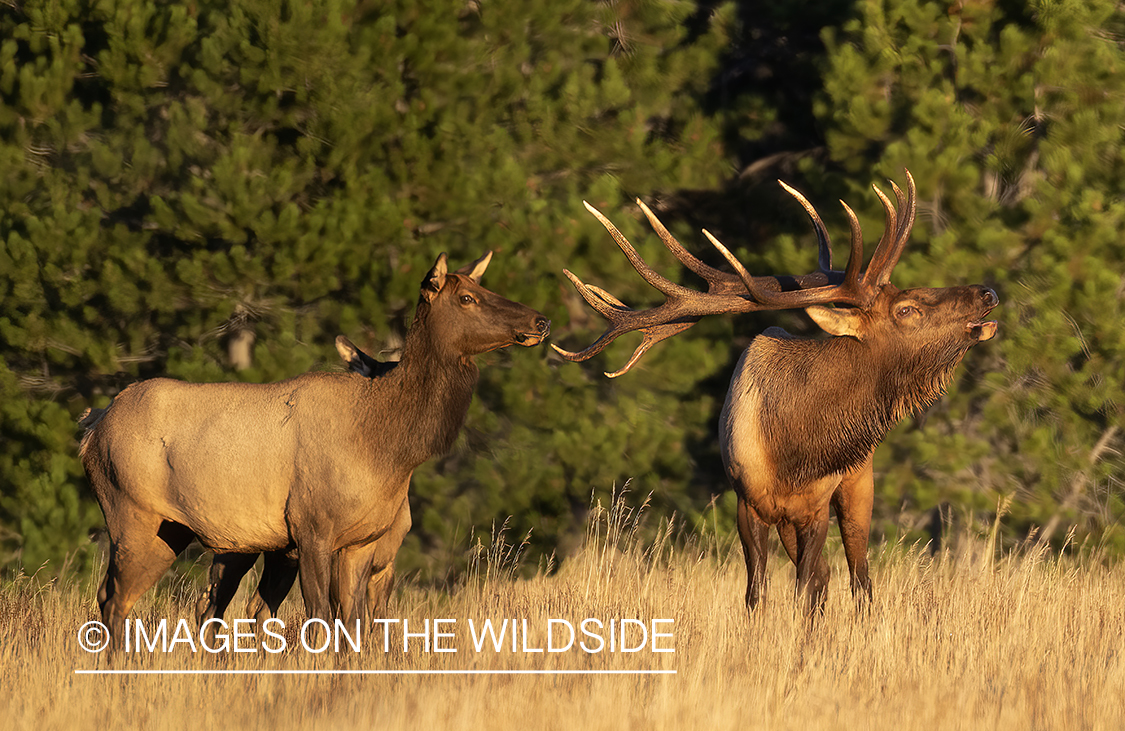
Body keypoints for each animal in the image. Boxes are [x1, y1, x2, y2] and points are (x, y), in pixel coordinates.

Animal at [79, 250, 549, 638]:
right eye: (467, 298)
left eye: (487, 288)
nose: (539, 321)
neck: (388, 447)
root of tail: (92, 426)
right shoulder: (312, 530)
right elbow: (321, 619)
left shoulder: (360, 543)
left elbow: (354, 626)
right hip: (133, 515)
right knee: (116, 600)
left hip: (183, 531)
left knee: (185, 605)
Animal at [555, 173, 1003, 611]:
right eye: (907, 309)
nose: (987, 293)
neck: (792, 452)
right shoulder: (747, 501)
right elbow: (759, 592)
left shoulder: (816, 505)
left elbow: (803, 587)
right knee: (830, 577)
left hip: (859, 482)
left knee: (859, 577)